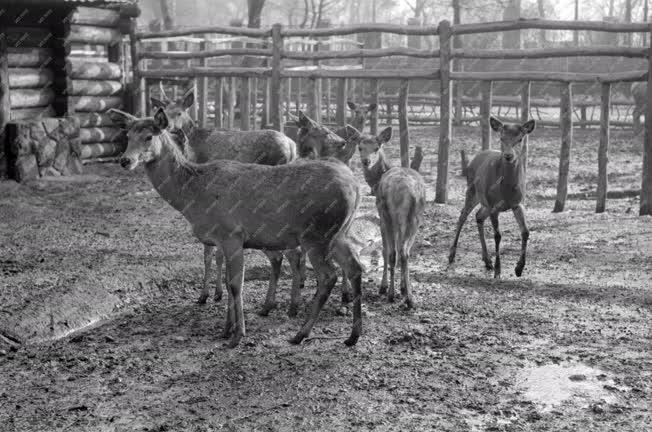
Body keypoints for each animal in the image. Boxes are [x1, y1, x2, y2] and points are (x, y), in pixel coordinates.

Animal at [107, 107, 362, 348]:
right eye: (128, 135)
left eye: (149, 136)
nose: (125, 160)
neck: (192, 196)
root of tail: (355, 186)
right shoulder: (221, 239)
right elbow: (228, 282)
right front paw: (226, 329)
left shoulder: (232, 234)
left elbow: (236, 285)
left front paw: (237, 335)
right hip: (339, 233)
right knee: (355, 266)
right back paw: (352, 335)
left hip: (317, 234)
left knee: (328, 276)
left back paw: (301, 333)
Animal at [354, 125, 426, 308]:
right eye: (360, 147)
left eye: (376, 148)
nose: (366, 161)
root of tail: (410, 193)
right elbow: (401, 249)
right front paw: (403, 288)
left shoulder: (381, 214)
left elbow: (386, 250)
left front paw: (384, 287)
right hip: (415, 218)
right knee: (405, 252)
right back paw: (410, 298)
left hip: (392, 214)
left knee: (393, 251)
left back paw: (391, 294)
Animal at [448, 116, 536, 278]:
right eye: (501, 138)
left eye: (520, 138)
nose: (508, 155)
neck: (507, 190)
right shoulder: (495, 206)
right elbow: (497, 235)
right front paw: (498, 271)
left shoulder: (518, 203)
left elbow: (526, 231)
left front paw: (519, 268)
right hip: (472, 190)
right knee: (462, 215)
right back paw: (451, 255)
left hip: (484, 202)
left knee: (478, 216)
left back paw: (487, 260)